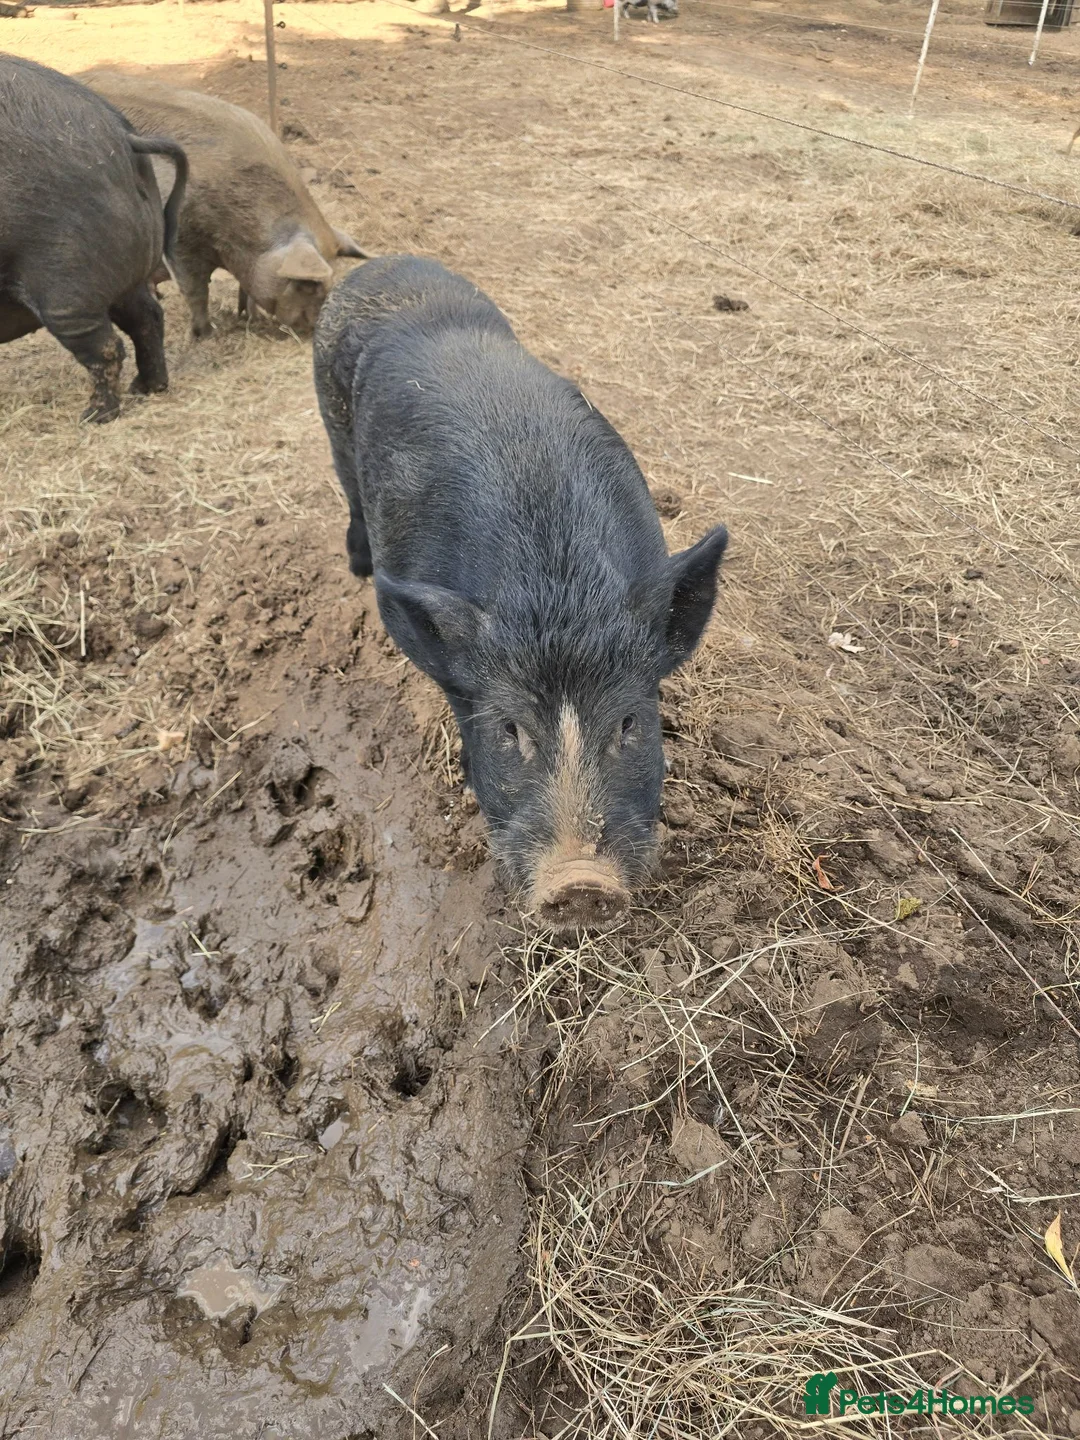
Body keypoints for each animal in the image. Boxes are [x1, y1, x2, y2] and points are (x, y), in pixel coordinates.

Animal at [0, 55, 187, 421]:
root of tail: (124, 136)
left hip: (67, 283)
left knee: (107, 347)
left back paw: (94, 416)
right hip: (123, 273)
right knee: (148, 317)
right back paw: (147, 388)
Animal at [79, 71, 369, 339]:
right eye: (308, 285)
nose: (311, 331)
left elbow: (246, 290)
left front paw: (249, 319)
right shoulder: (182, 240)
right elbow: (195, 290)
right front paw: (204, 335)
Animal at [314, 256, 728, 932]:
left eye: (630, 723)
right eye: (509, 729)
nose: (581, 881)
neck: (555, 593)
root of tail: (380, 265)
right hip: (331, 419)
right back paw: (355, 564)